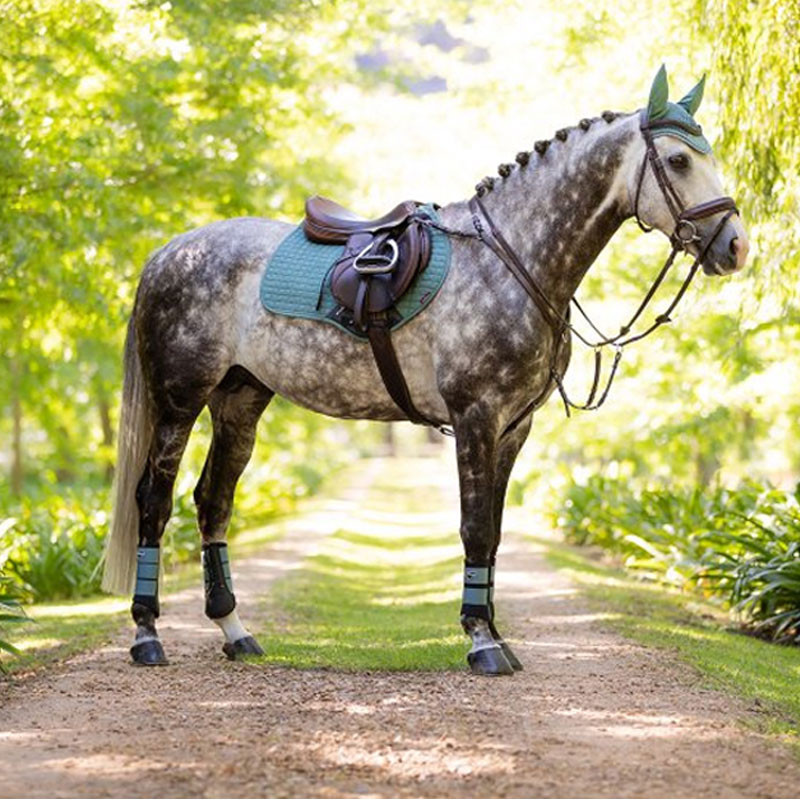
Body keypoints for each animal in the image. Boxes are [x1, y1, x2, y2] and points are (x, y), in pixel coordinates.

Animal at [101, 65, 752, 672]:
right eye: (677, 159)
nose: (736, 246)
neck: (512, 257)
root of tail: (169, 253)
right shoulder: (475, 418)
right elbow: (474, 528)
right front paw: (482, 641)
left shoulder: (514, 428)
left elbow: (493, 532)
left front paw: (496, 636)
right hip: (180, 401)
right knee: (154, 501)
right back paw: (147, 634)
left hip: (239, 401)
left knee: (213, 501)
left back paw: (235, 632)